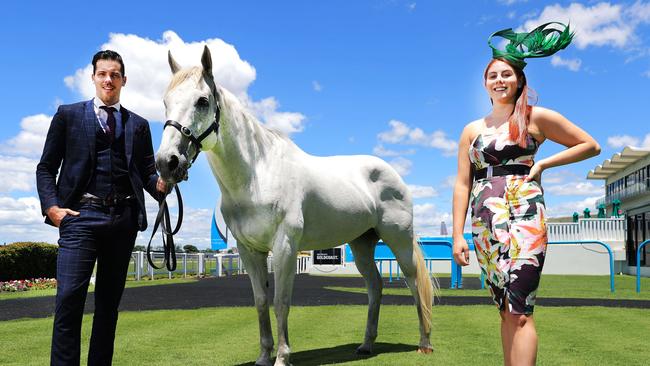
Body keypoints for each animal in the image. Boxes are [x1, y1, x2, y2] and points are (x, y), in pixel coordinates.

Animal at [154, 46, 432, 366]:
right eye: (165, 102)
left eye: (202, 101)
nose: (166, 162)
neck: (258, 174)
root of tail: (392, 173)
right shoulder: (249, 250)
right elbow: (261, 301)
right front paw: (264, 356)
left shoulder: (285, 245)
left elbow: (281, 301)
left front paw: (282, 356)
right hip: (362, 244)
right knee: (375, 287)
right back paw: (366, 345)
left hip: (399, 239)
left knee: (413, 282)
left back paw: (424, 343)